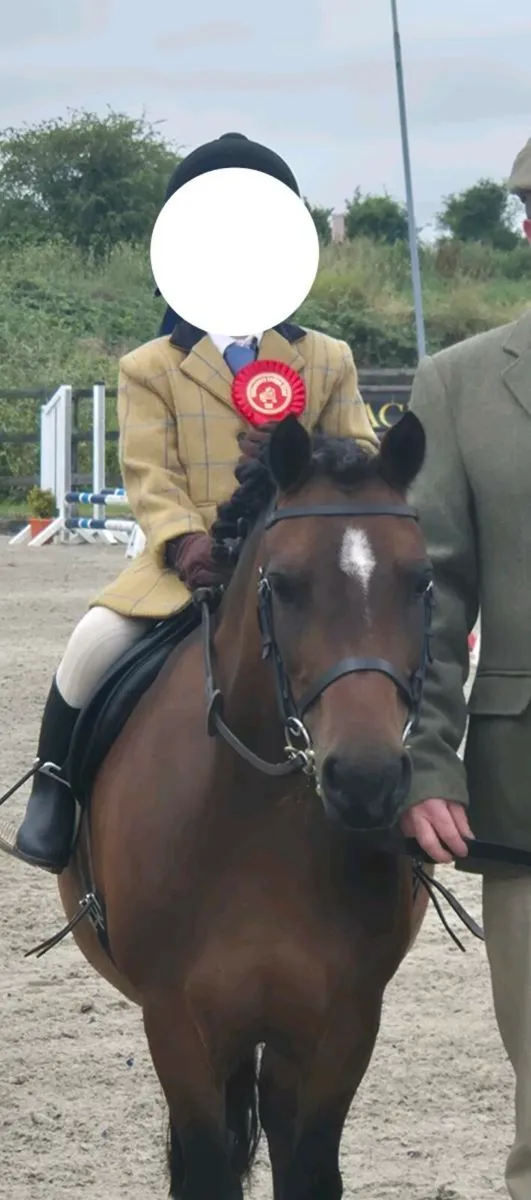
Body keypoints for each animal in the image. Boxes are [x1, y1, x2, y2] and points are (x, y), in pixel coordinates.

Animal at [58, 411, 432, 1200]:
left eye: (420, 580)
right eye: (283, 584)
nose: (365, 780)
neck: (259, 824)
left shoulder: (342, 1024)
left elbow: (308, 1168)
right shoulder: (177, 1023)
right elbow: (207, 1167)